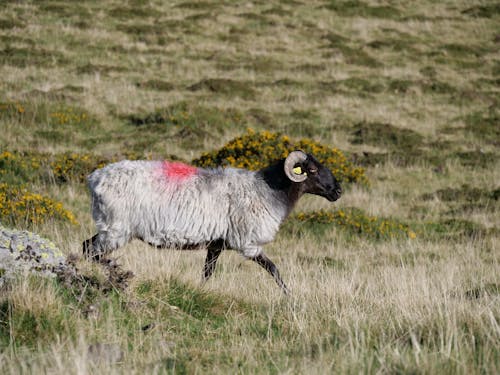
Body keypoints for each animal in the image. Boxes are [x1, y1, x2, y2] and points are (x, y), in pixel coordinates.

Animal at [84, 150, 342, 294]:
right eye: (312, 169)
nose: (338, 191)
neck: (267, 191)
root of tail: (95, 178)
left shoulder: (216, 244)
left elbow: (208, 272)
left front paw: (202, 290)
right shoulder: (246, 243)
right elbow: (273, 269)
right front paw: (289, 295)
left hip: (111, 229)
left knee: (87, 246)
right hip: (116, 229)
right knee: (91, 251)